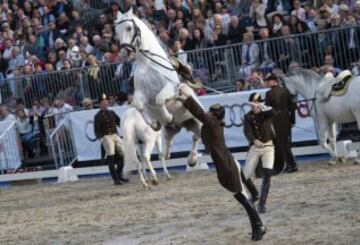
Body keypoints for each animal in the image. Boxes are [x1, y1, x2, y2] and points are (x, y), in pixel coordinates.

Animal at [114, 6, 201, 166]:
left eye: (129, 27)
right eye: (117, 31)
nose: (125, 51)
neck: (149, 63)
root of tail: (183, 124)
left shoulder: (169, 88)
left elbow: (160, 100)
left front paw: (168, 117)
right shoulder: (141, 93)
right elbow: (139, 106)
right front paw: (155, 124)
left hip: (196, 120)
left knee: (196, 137)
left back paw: (192, 159)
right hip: (173, 130)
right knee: (170, 141)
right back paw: (168, 153)